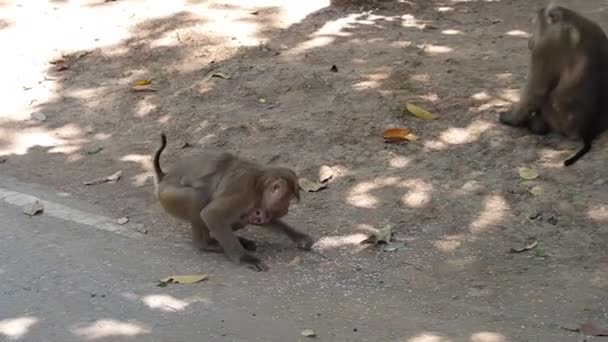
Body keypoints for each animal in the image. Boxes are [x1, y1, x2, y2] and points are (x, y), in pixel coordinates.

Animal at [153, 132, 314, 272]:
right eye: (287, 201)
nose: (287, 209)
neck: (259, 184)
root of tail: (165, 176)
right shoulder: (244, 192)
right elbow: (212, 214)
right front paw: (244, 258)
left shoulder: (259, 206)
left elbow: (265, 220)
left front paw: (298, 236)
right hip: (168, 196)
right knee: (198, 196)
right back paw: (206, 245)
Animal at [498, 3, 608, 166]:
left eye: (535, 25)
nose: (530, 39)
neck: (568, 19)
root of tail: (587, 130)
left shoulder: (546, 45)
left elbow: (536, 90)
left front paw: (509, 119)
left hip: (557, 119)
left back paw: (537, 125)